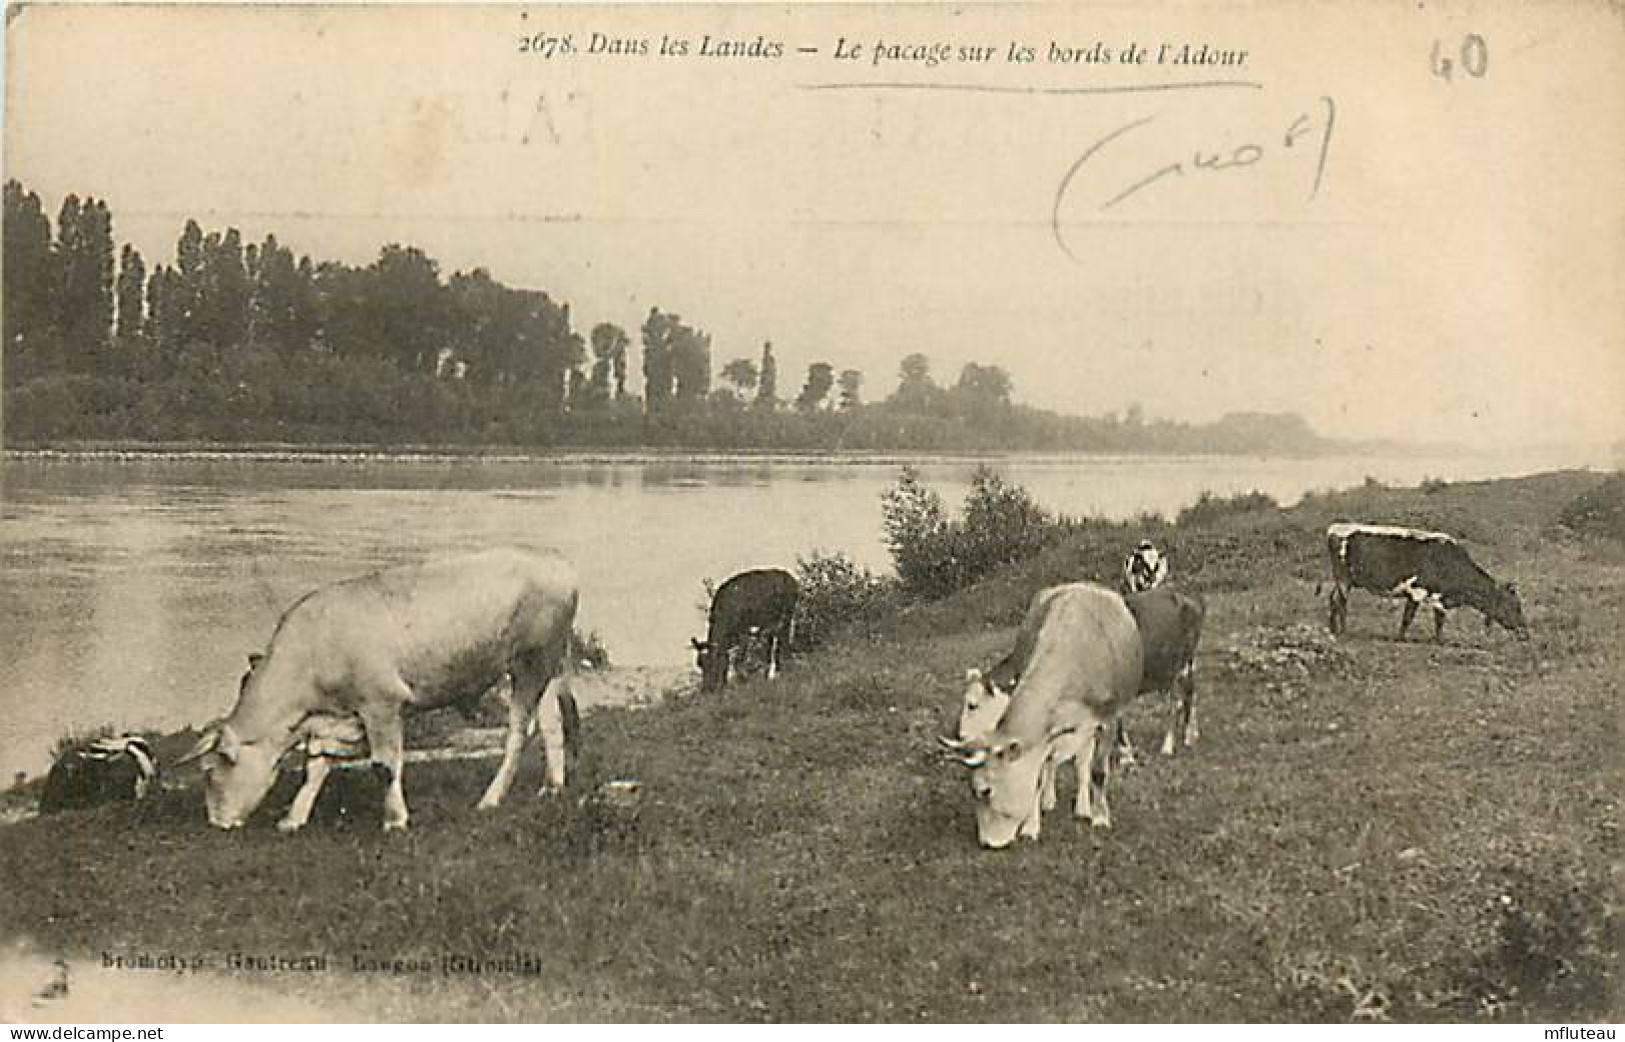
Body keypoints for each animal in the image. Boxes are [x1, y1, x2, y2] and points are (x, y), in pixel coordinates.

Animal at [179, 546, 578, 829]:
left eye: (210, 772)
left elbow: (384, 765)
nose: (216, 824)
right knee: (553, 722)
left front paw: (395, 820)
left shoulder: (381, 703)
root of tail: (556, 563)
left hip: (532, 662)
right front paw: (293, 818)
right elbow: (316, 766)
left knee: (518, 732)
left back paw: (491, 799)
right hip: (545, 667)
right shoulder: (334, 717)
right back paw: (553, 786)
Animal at [1326, 523, 1527, 637]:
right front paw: (1401, 638)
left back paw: (1333, 629)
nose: (1524, 631)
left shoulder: (1439, 597)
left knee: (1333, 599)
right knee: (1342, 602)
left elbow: (1439, 620)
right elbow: (1408, 618)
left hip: (1343, 580)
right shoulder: (1417, 591)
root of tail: (1335, 527)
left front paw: (1439, 641)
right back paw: (1344, 631)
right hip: (1344, 578)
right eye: (1513, 605)